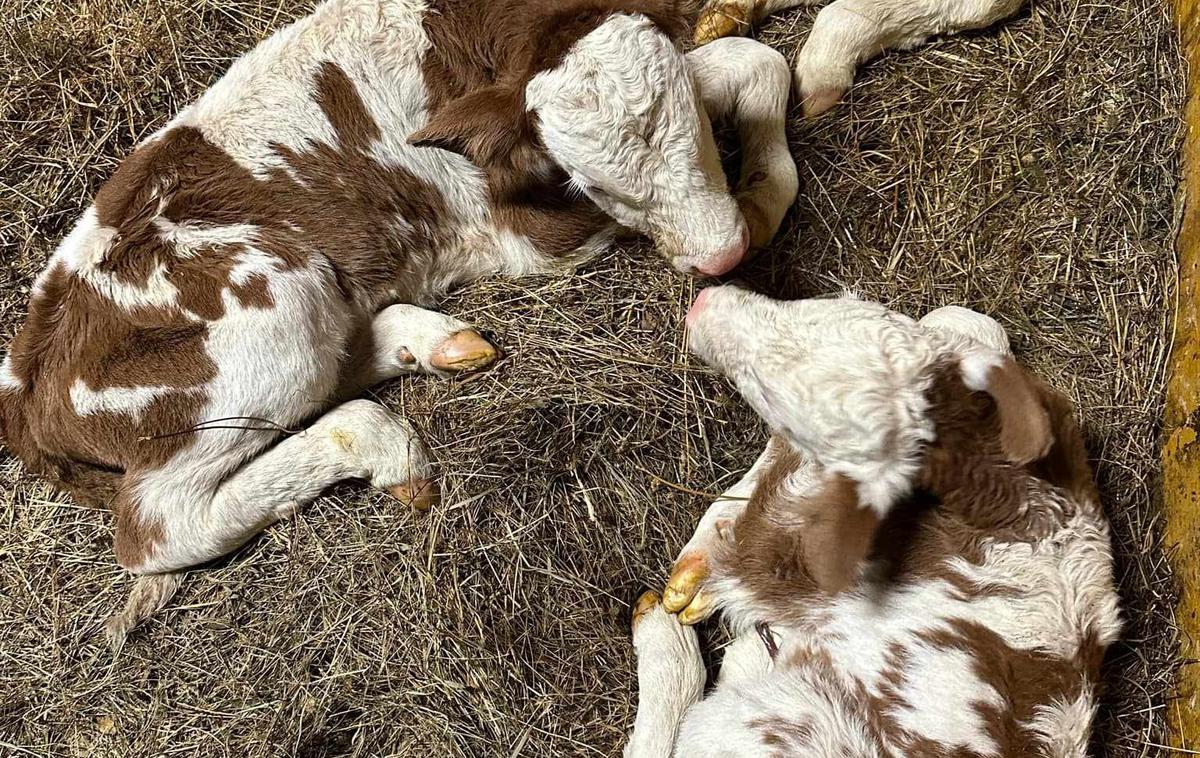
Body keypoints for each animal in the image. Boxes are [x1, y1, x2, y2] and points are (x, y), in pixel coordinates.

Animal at [2, 0, 806, 647]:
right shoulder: (530, 232)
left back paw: (431, 342)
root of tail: (26, 390)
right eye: (593, 181)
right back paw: (383, 443)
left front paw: (761, 191)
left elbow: (755, 60)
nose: (722, 253)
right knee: (156, 527)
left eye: (685, 120)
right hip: (272, 311)